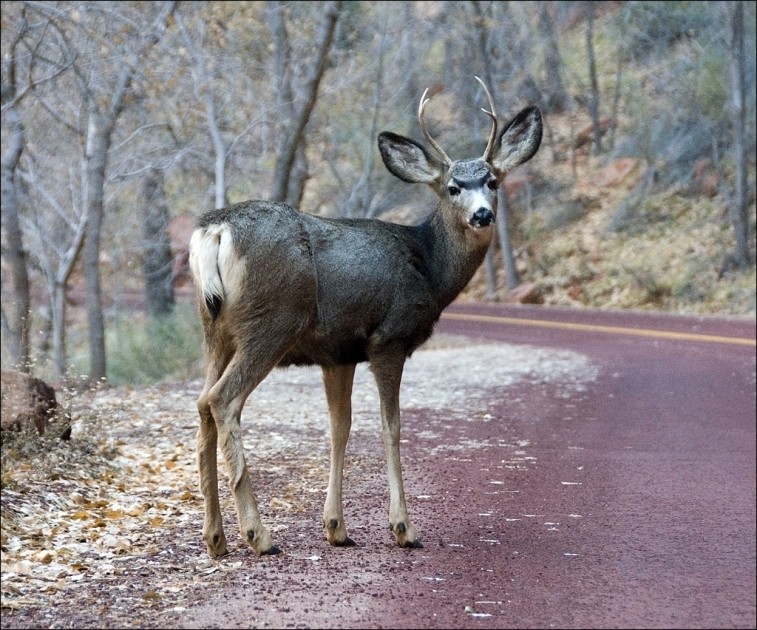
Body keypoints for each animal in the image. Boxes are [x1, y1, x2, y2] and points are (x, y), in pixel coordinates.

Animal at [189, 78, 544, 556]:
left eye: (491, 181)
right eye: (453, 187)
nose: (482, 214)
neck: (429, 265)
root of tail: (215, 230)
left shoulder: (338, 353)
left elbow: (340, 428)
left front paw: (336, 527)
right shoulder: (388, 338)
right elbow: (391, 427)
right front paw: (403, 527)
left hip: (214, 331)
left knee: (201, 404)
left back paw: (216, 537)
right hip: (270, 322)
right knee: (222, 400)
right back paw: (258, 535)